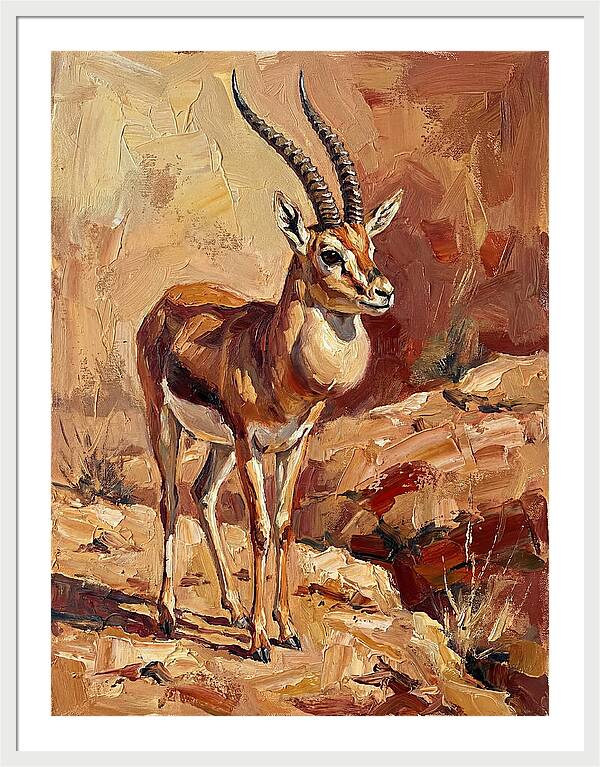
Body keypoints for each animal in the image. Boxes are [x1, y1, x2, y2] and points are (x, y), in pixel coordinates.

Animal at [136, 70, 403, 662]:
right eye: (330, 252)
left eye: (369, 244)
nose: (383, 292)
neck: (275, 364)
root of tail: (166, 299)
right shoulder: (251, 443)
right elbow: (258, 527)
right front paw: (260, 639)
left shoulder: (293, 444)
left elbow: (282, 525)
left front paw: (286, 627)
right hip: (167, 422)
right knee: (169, 498)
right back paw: (169, 615)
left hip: (217, 445)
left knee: (203, 495)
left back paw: (232, 609)